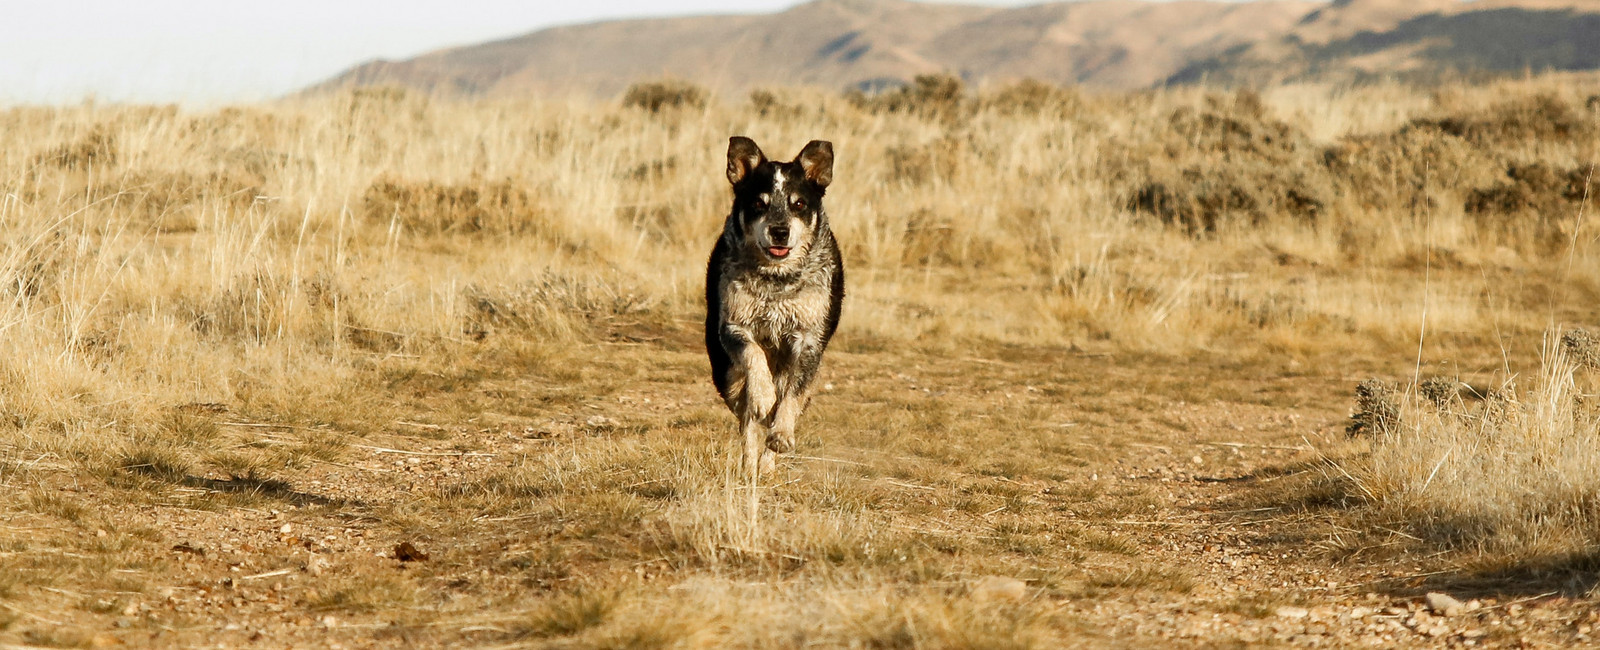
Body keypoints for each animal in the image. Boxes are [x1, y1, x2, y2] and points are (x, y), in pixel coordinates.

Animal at [704, 136, 844, 480]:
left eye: (799, 204)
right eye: (759, 203)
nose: (780, 231)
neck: (777, 281)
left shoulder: (808, 340)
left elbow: (791, 397)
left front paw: (781, 434)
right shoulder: (734, 326)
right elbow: (753, 357)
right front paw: (763, 395)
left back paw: (768, 461)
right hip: (726, 374)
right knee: (747, 419)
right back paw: (751, 461)